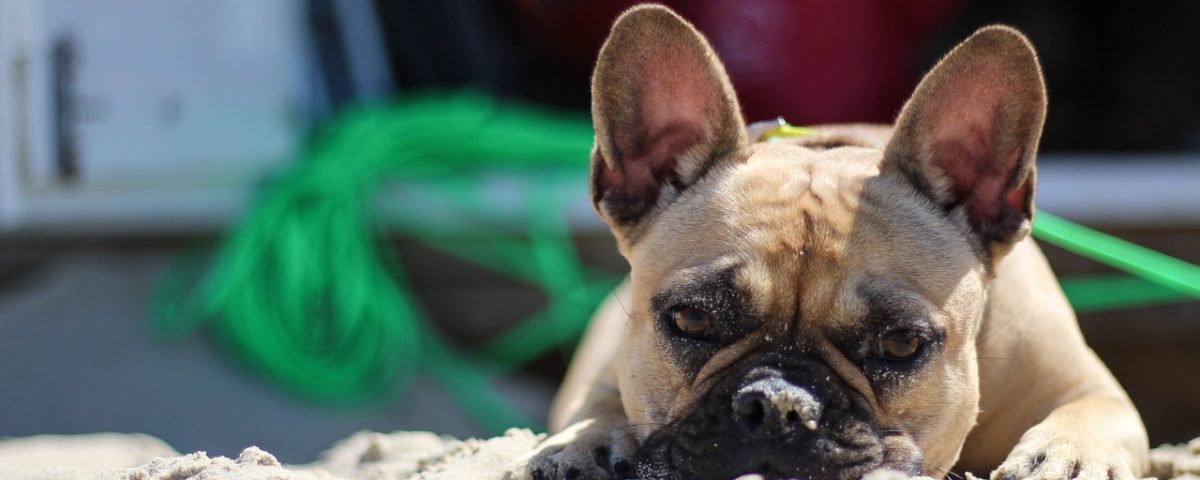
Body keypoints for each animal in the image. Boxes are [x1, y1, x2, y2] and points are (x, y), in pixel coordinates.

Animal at [511, 4, 1147, 480]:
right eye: (691, 319)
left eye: (900, 344)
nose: (777, 403)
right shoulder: (604, 371)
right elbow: (594, 407)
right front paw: (584, 442)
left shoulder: (1090, 386)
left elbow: (1097, 414)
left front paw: (1069, 456)